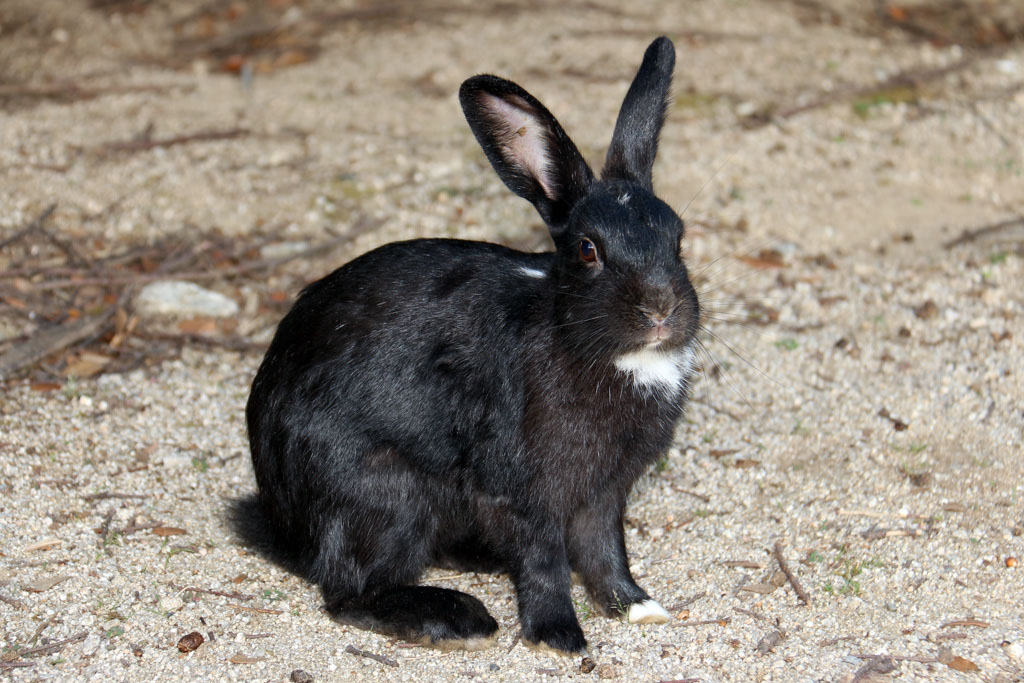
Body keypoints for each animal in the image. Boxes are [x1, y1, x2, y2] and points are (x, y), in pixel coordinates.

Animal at [231, 36, 699, 655]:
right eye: (587, 250)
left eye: (679, 239)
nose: (661, 310)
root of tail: (283, 522)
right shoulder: (526, 494)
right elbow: (545, 561)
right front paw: (559, 635)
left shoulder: (604, 495)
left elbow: (605, 551)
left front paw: (638, 608)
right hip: (385, 493)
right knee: (348, 590)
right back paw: (455, 619)